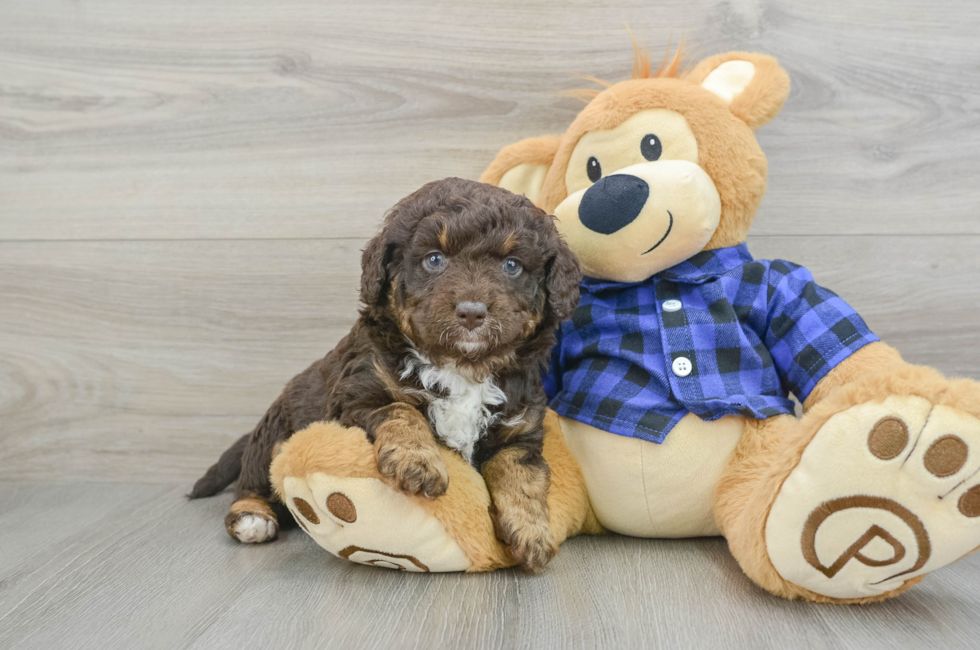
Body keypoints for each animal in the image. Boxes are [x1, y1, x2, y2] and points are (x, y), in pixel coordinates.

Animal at [191, 177, 580, 568]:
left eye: (512, 265)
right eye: (434, 259)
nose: (472, 312)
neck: (461, 366)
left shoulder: (520, 428)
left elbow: (520, 473)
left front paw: (532, 532)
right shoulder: (356, 395)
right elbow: (400, 408)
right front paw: (419, 463)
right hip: (273, 436)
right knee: (253, 482)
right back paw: (252, 518)